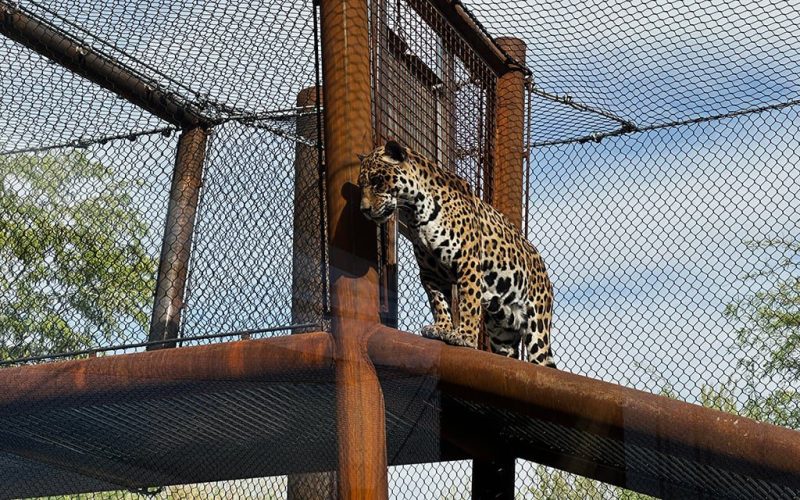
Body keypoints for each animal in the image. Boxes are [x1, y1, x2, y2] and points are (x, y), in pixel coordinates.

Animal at [358, 140, 555, 366]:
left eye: (377, 181)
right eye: (361, 185)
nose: (364, 209)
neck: (415, 211)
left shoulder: (467, 261)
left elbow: (468, 302)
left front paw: (464, 336)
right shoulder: (429, 272)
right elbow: (438, 302)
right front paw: (441, 328)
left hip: (537, 327)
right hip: (501, 332)